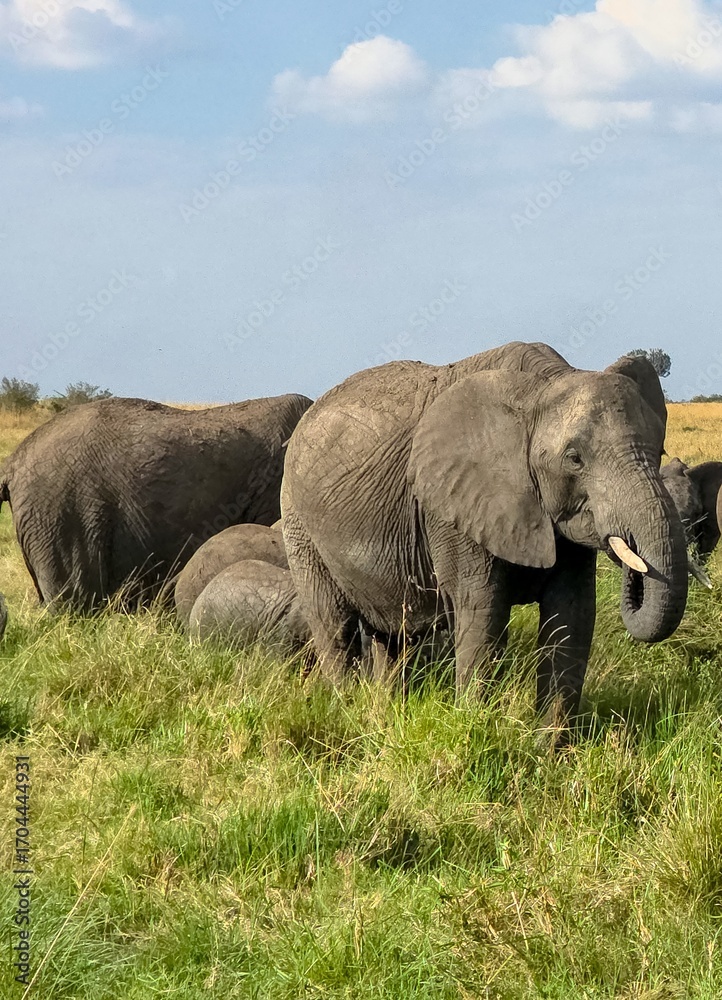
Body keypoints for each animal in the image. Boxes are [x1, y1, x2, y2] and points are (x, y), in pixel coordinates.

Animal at [281, 341, 689, 730]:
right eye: (574, 459)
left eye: (660, 451)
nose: (632, 557)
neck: (545, 384)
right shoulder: (453, 509)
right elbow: (483, 617)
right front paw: (476, 726)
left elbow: (571, 618)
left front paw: (552, 748)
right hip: (298, 521)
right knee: (334, 626)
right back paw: (349, 709)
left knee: (392, 636)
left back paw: (384, 712)